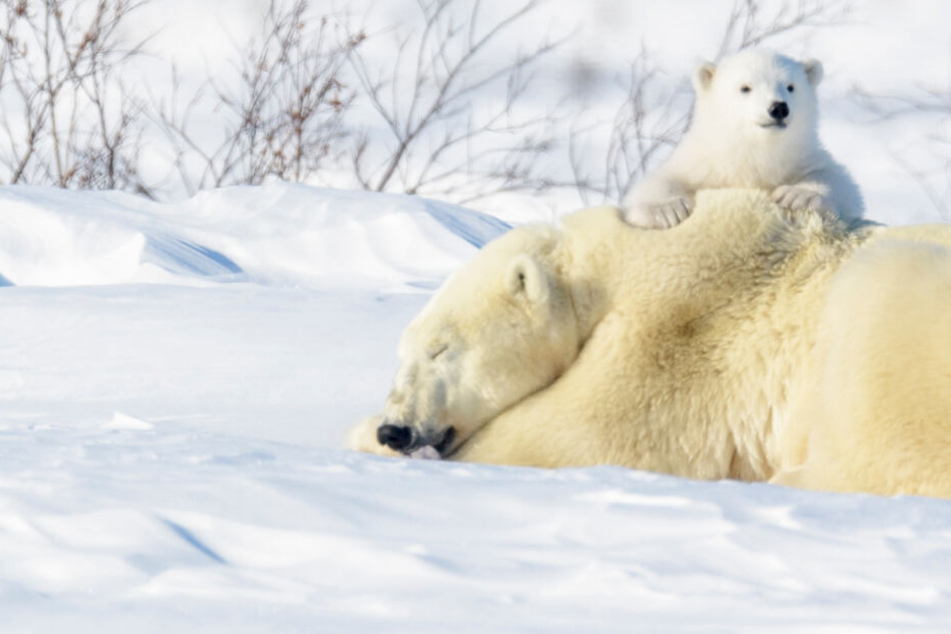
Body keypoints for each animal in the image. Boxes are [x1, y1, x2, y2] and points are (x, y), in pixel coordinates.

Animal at [354, 190, 951, 496]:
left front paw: (360, 436)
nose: (395, 428)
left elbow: (575, 433)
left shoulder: (677, 330)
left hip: (891, 306)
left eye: (441, 348)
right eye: (404, 352)